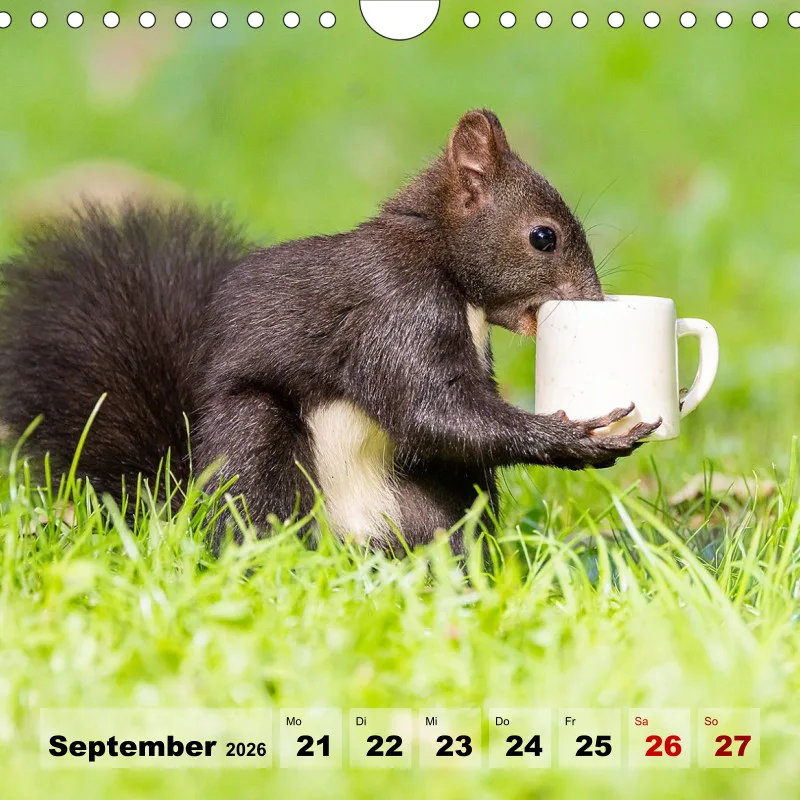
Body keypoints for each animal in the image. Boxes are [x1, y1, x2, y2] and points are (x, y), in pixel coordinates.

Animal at [0, 110, 659, 554]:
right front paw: (579, 439)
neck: (437, 257)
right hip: (254, 443)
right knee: (257, 503)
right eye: (543, 236)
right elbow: (433, 411)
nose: (594, 301)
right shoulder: (394, 308)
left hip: (434, 498)